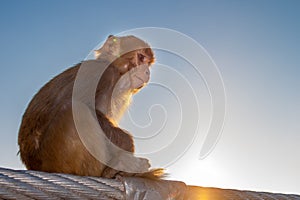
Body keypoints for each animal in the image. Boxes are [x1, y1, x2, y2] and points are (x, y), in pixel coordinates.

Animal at [18, 35, 164, 179]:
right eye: (141, 57)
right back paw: (108, 172)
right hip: (54, 159)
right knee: (74, 110)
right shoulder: (101, 74)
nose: (147, 71)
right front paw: (126, 142)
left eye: (148, 63)